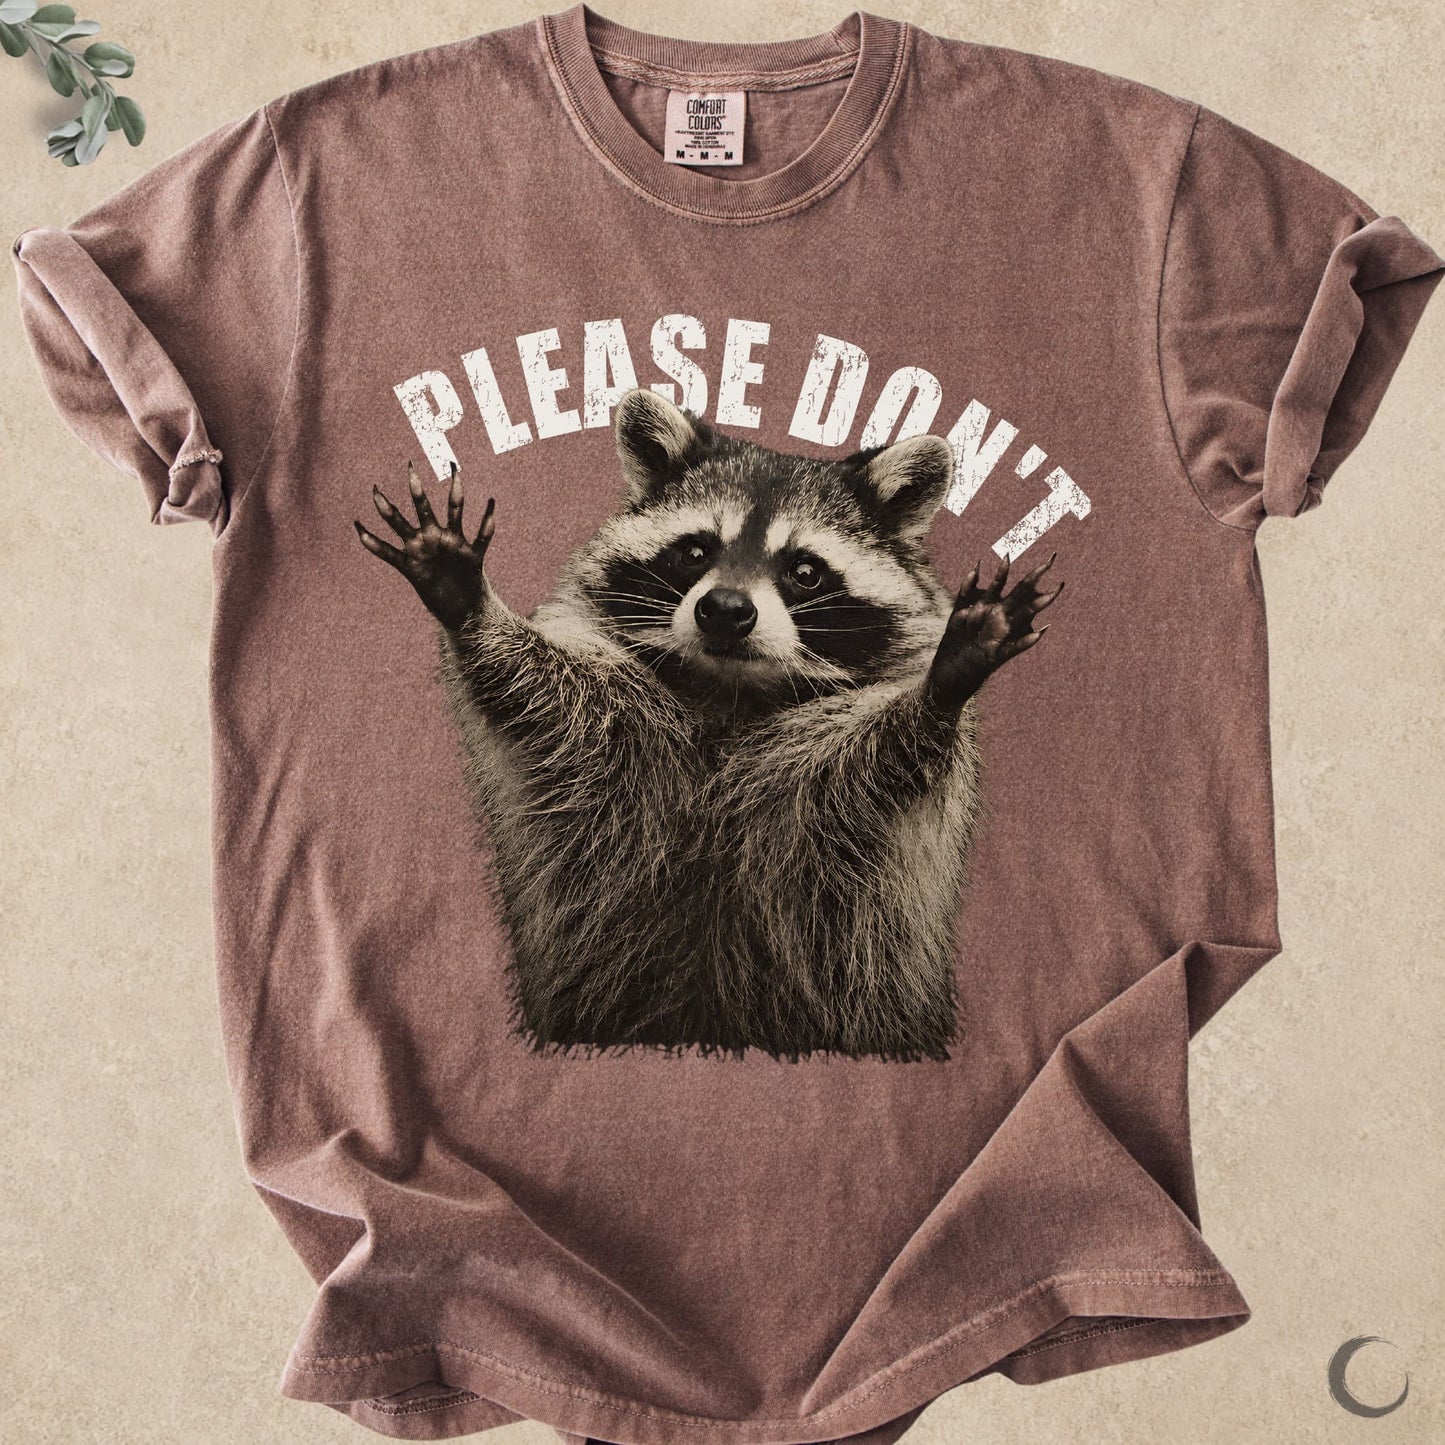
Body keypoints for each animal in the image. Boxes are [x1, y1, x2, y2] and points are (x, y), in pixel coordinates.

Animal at [355, 387, 1061, 1061]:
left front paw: (942, 687)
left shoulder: (834, 789)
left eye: (804, 571)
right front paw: (472, 608)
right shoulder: (610, 730)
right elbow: (537, 695)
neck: (731, 691)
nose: (724, 609)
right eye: (694, 552)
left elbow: (882, 762)